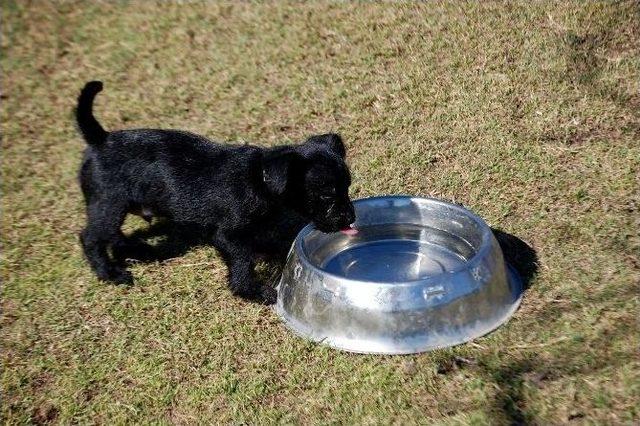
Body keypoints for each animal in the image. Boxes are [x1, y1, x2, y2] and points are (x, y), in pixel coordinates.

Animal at [76, 81, 356, 304]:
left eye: (347, 187)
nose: (350, 218)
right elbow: (242, 262)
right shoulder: (228, 236)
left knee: (114, 236)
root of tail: (101, 139)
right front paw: (253, 292)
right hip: (108, 204)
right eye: (327, 195)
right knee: (91, 237)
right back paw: (109, 272)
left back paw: (137, 250)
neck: (260, 178)